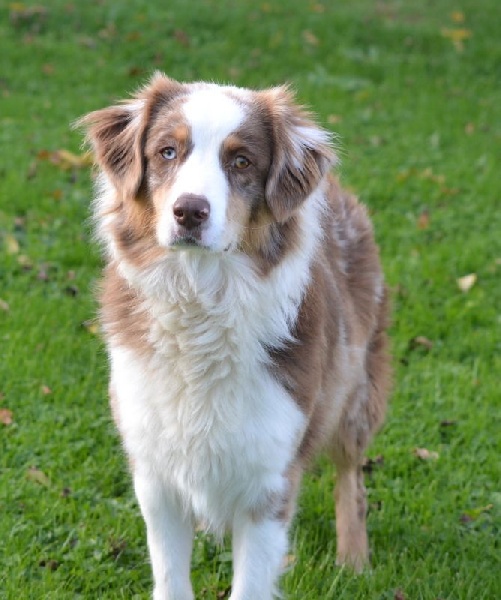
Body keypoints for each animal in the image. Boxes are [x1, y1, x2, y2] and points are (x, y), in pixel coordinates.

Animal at [78, 74, 390, 600]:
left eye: (241, 161)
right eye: (167, 152)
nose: (189, 211)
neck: (200, 304)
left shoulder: (270, 481)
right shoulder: (155, 472)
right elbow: (171, 578)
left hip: (355, 390)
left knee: (351, 473)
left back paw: (354, 562)